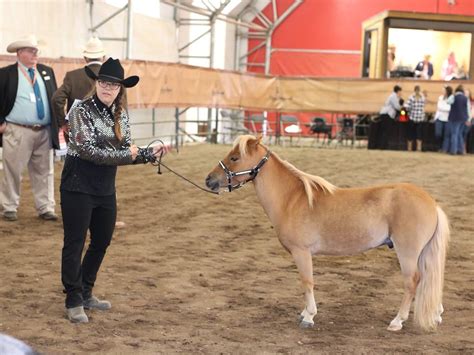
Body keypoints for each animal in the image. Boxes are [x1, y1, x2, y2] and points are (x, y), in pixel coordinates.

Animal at [206, 135, 450, 332]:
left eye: (235, 157)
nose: (209, 180)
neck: (291, 199)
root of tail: (431, 202)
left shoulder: (302, 252)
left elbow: (307, 282)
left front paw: (308, 317)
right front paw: (305, 313)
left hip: (407, 252)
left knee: (412, 281)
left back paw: (397, 321)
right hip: (422, 252)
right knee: (429, 276)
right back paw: (436, 315)